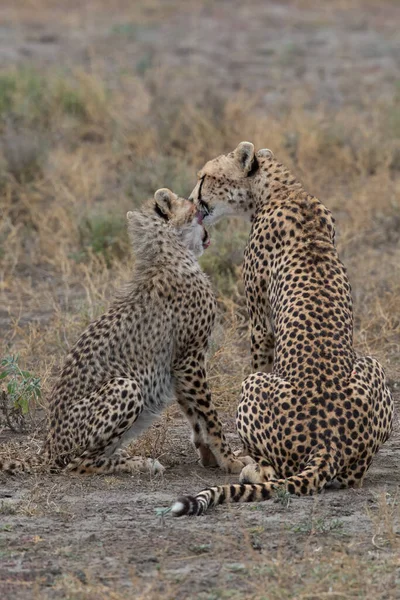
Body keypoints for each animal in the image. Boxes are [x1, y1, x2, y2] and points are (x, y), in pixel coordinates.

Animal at [0, 190, 247, 476]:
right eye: (190, 203)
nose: (200, 203)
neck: (171, 252)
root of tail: (49, 449)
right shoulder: (190, 358)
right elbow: (209, 414)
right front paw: (230, 460)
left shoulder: (178, 364)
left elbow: (194, 414)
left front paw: (210, 456)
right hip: (125, 385)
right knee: (78, 464)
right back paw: (139, 462)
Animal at [172, 142, 394, 516]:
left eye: (206, 177)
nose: (192, 200)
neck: (282, 190)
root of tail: (328, 444)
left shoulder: (261, 324)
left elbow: (259, 355)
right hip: (372, 365)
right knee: (353, 476)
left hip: (253, 387)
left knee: (272, 470)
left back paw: (251, 467)